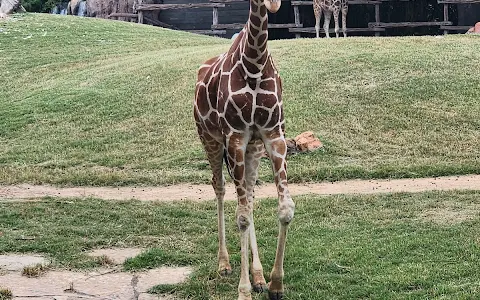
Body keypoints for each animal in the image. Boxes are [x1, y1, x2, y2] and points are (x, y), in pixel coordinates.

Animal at [193, 0, 294, 298]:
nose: (273, 5)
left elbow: (284, 208)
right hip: (210, 138)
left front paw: (274, 283)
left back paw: (258, 275)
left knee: (248, 197)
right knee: (219, 187)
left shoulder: (273, 136)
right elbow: (241, 218)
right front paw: (243, 290)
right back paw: (224, 263)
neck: (255, 62)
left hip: (254, 148)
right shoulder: (235, 137)